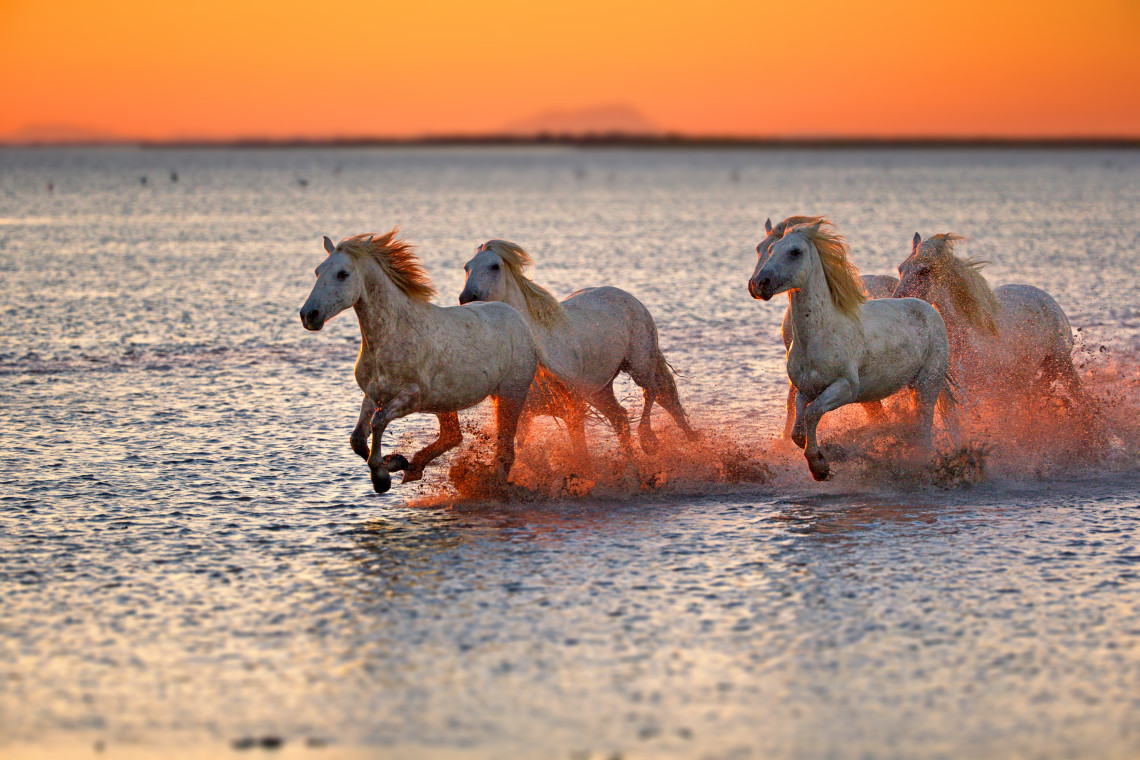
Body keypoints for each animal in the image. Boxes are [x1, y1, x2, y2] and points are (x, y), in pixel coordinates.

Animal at [299, 229, 538, 494]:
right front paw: (396, 462)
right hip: (447, 401)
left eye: (343, 274)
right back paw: (415, 468)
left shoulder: (412, 396)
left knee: (504, 446)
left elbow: (378, 422)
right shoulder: (373, 394)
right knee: (453, 436)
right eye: (318, 271)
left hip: (511, 393)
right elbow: (357, 439)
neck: (392, 334)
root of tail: (516, 317)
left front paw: (382, 476)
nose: (309, 315)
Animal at [459, 239, 697, 458]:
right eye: (467, 267)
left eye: (495, 266)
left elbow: (580, 452)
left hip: (639, 364)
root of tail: (629, 296)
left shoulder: (573, 407)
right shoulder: (523, 411)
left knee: (655, 392)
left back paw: (651, 441)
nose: (466, 298)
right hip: (600, 389)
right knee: (624, 416)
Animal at [893, 232, 1085, 407]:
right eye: (900, 269)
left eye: (925, 270)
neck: (969, 336)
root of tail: (1046, 298)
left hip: (1059, 365)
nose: (896, 301)